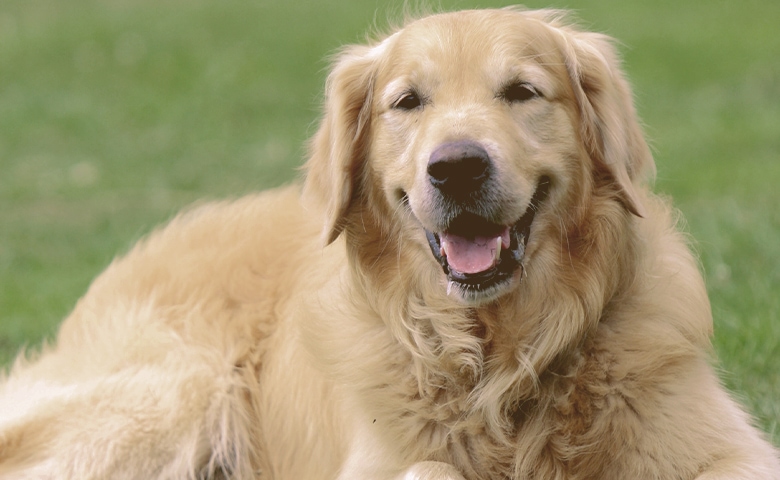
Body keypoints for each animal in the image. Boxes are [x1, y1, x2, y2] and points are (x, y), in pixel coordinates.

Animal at [1, 7, 780, 480]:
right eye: (408, 102)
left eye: (522, 92)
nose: (457, 166)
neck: (503, 359)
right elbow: (431, 466)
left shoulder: (724, 444)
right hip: (173, 398)